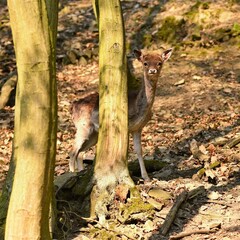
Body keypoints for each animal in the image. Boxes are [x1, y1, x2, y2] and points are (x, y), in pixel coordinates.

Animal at [69, 48, 172, 180]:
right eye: (145, 63)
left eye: (159, 63)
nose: (152, 70)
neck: (139, 108)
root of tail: (73, 106)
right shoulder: (125, 125)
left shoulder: (138, 128)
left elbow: (139, 150)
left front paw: (146, 177)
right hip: (83, 126)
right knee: (73, 152)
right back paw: (72, 174)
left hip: (94, 134)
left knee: (81, 152)